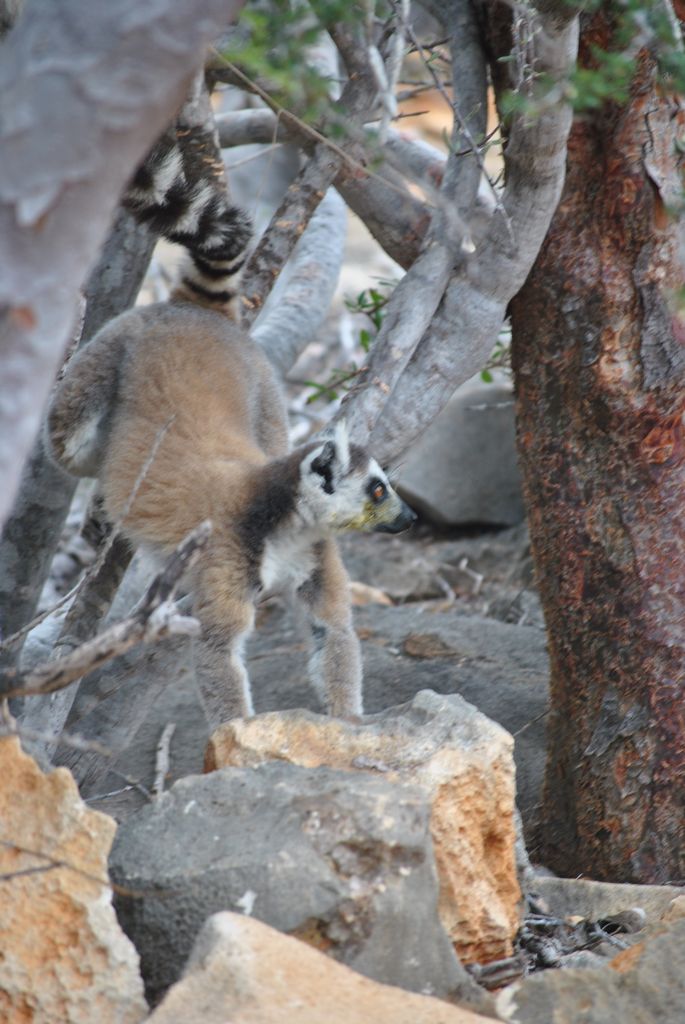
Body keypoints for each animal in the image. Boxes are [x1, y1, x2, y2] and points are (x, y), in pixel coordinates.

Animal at [46, 130, 416, 731]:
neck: (287, 526)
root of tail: (195, 315)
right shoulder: (225, 550)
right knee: (68, 442)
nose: (409, 519)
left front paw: (350, 725)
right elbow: (220, 649)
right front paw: (235, 745)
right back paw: (96, 496)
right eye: (378, 490)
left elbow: (331, 629)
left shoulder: (316, 553)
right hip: (112, 348)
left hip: (263, 393)